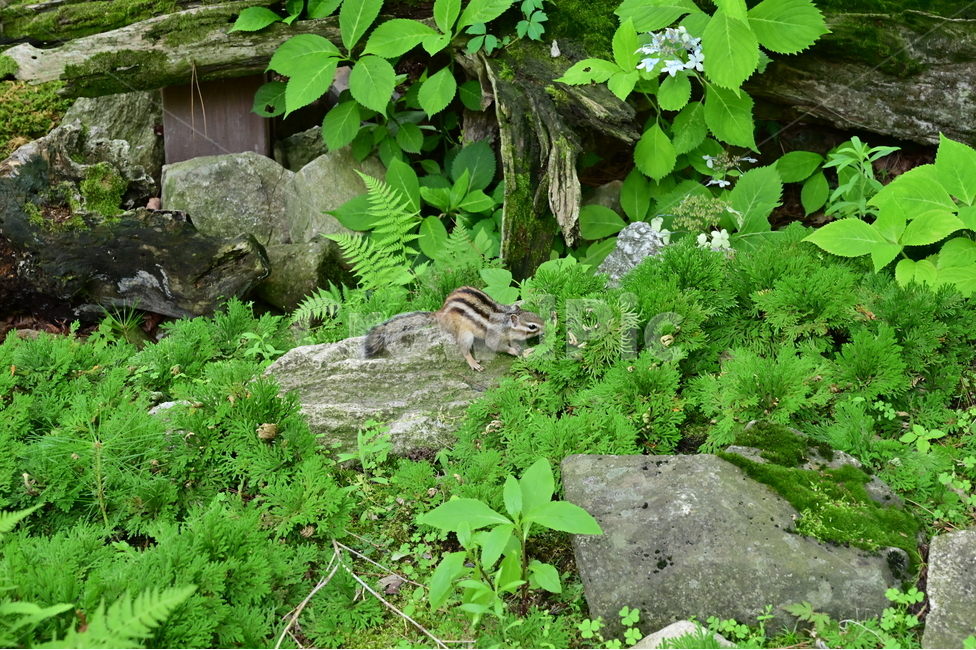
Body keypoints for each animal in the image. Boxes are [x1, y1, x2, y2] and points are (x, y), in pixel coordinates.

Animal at [363, 286, 545, 371]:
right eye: (532, 326)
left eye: (536, 315)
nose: (546, 328)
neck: (505, 321)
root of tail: (441, 312)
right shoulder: (494, 336)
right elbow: (498, 346)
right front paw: (512, 350)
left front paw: (515, 345)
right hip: (465, 334)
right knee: (463, 350)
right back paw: (473, 363)